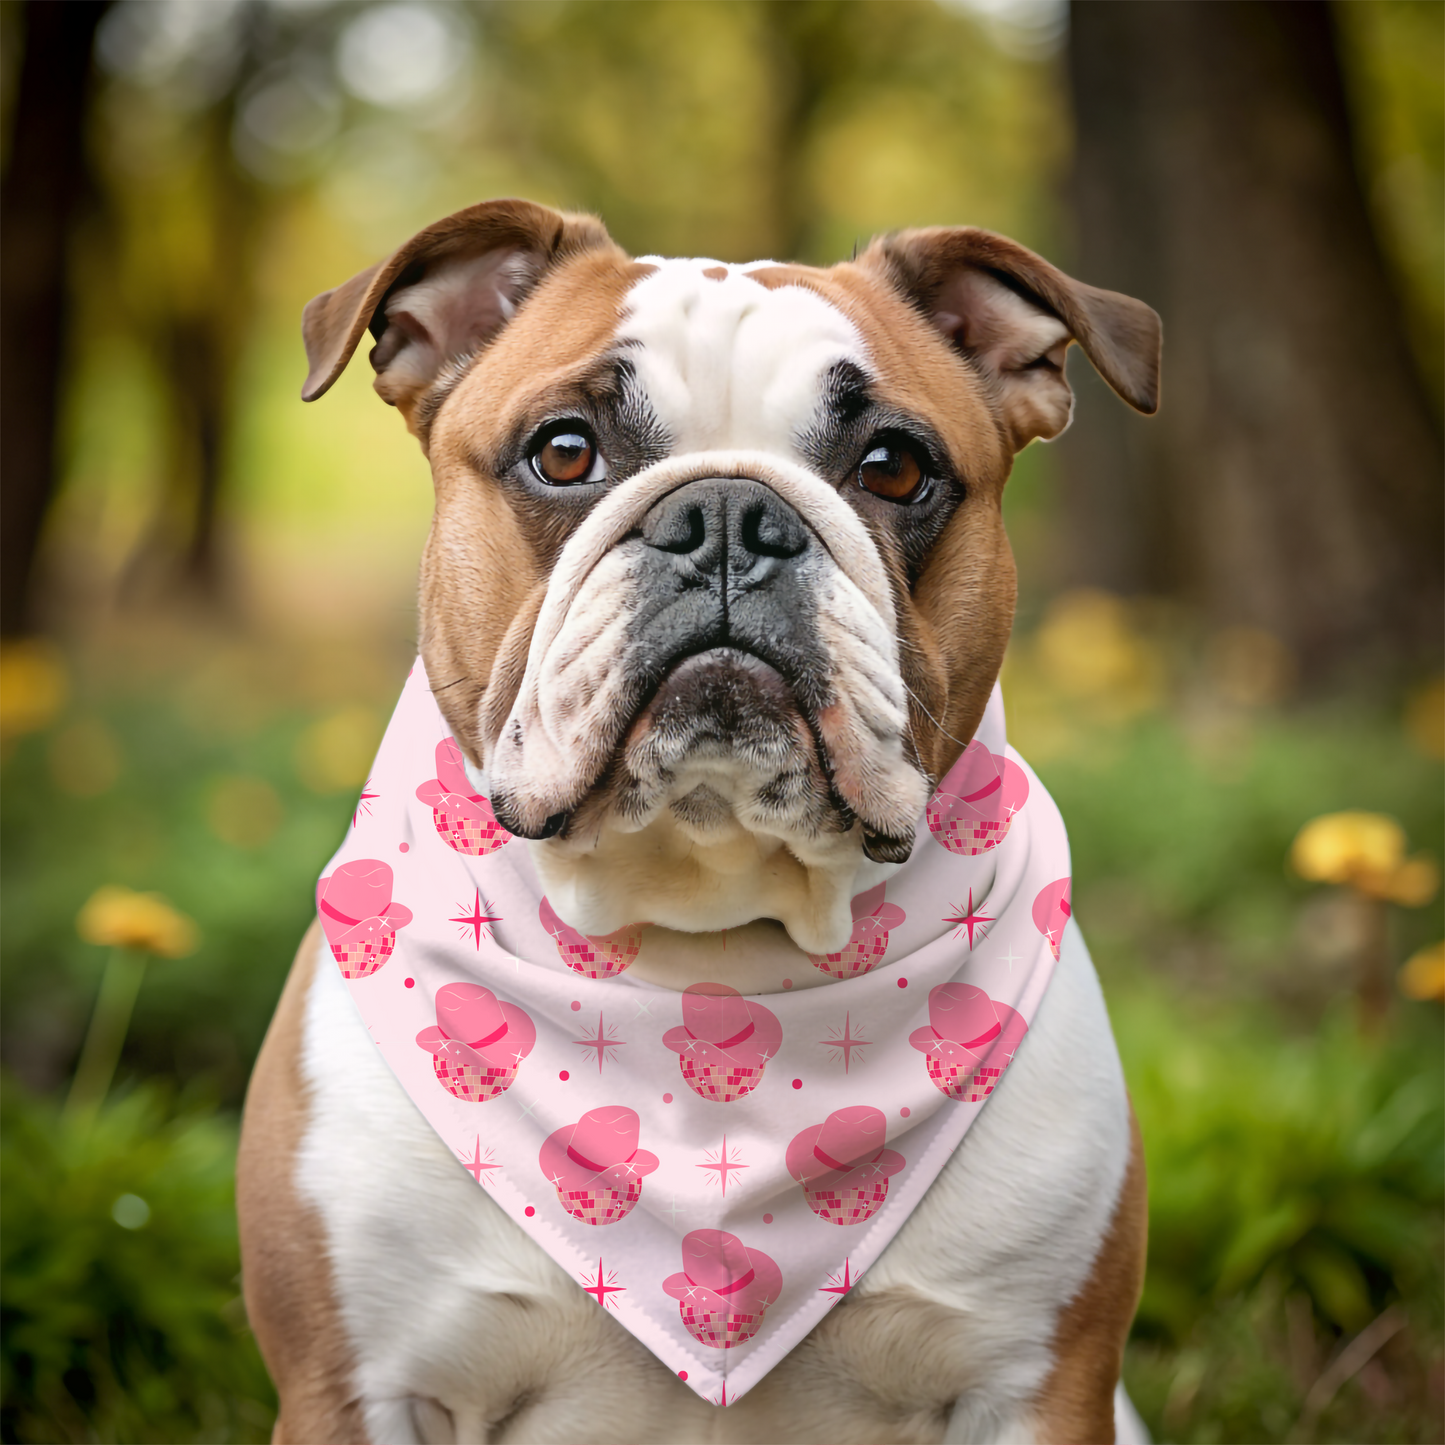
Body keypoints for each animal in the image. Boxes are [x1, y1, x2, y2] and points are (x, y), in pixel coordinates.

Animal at [236, 195, 1161, 1445]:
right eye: (563, 450)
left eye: (894, 467)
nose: (729, 512)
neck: (704, 942)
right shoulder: (353, 1389)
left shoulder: (1039, 1386)